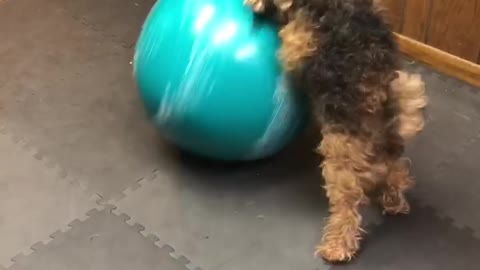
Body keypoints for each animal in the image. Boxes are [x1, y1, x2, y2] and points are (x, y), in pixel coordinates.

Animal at [244, 0, 428, 262]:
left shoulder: (298, 40)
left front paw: (257, 4)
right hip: (386, 145)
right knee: (397, 170)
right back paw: (394, 202)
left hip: (341, 156)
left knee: (348, 206)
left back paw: (338, 247)